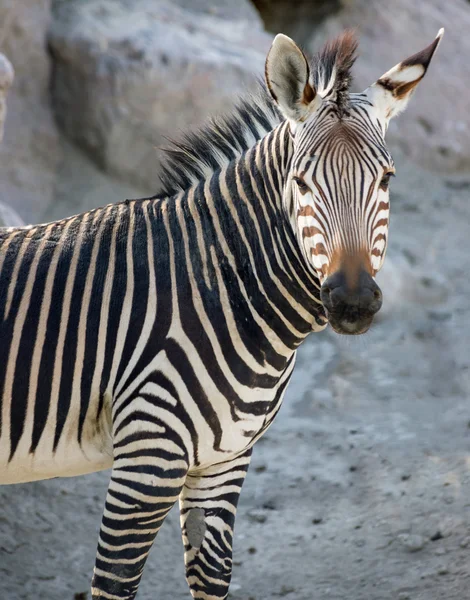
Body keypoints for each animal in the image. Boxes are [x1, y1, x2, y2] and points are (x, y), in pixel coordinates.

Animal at [0, 28, 440, 600]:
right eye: (301, 183)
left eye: (386, 180)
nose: (353, 302)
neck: (218, 287)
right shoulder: (148, 458)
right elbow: (114, 581)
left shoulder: (223, 459)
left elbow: (212, 575)